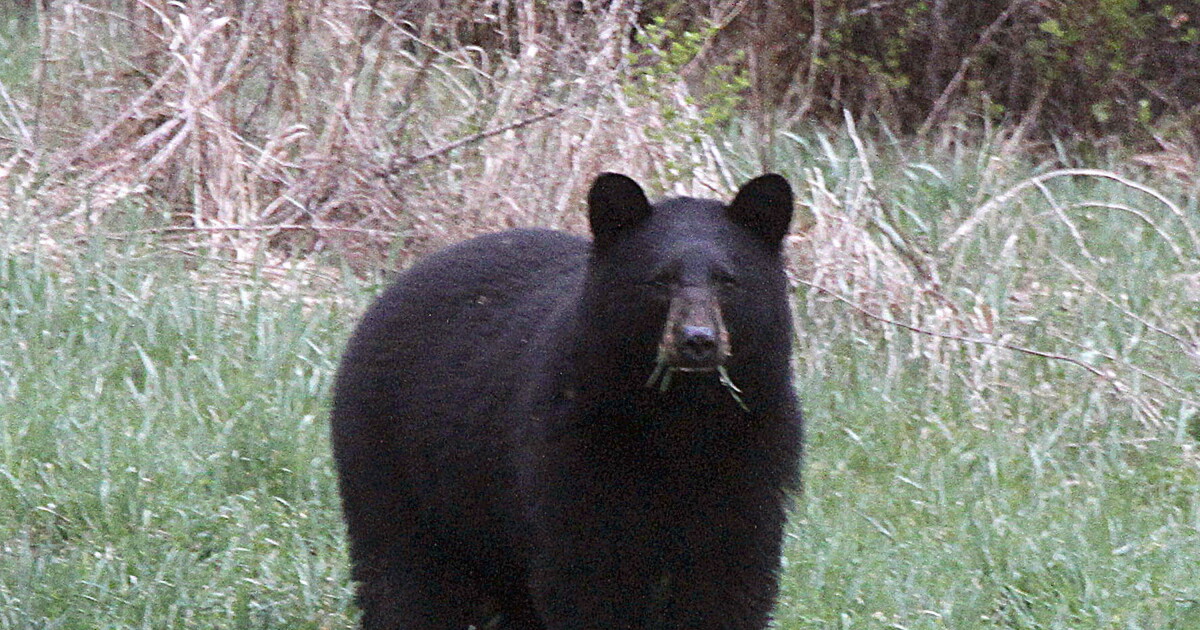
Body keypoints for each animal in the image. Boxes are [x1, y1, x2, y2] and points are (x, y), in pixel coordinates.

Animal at [330, 172, 804, 630]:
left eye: (728, 280)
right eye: (658, 280)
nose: (697, 341)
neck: (681, 415)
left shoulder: (752, 455)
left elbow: (727, 581)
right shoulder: (574, 449)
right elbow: (587, 579)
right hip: (394, 461)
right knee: (404, 580)